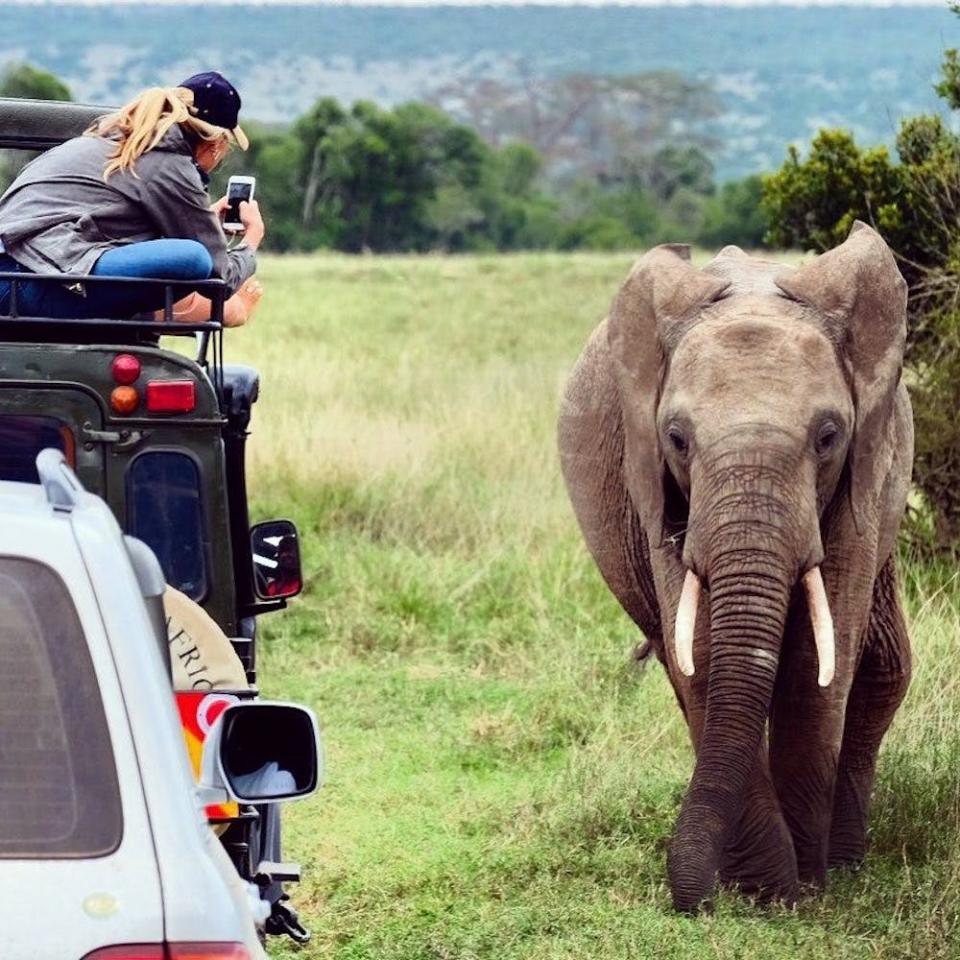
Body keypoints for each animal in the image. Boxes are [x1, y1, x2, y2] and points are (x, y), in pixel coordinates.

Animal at [564, 221, 916, 912]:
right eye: (676, 439)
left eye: (829, 436)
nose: (689, 902)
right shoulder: (656, 491)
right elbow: (699, 653)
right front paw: (766, 888)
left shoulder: (868, 468)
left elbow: (816, 660)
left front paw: (801, 888)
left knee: (883, 666)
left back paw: (846, 863)